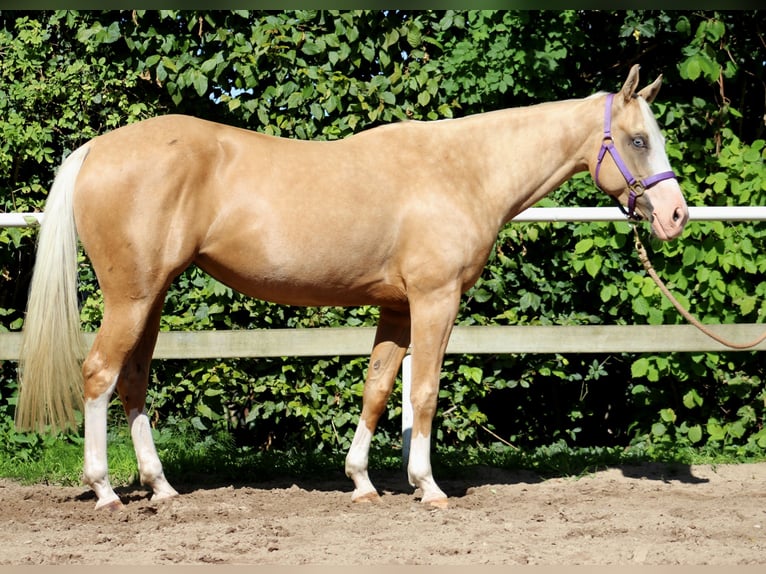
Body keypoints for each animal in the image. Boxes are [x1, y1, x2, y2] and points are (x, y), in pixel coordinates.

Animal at [15, 65, 688, 510]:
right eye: (637, 140)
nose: (676, 215)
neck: (464, 171)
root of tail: (96, 148)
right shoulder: (435, 302)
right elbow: (424, 394)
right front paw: (428, 487)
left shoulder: (396, 309)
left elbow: (378, 388)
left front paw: (362, 481)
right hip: (131, 299)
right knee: (99, 374)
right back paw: (105, 490)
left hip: (150, 299)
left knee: (133, 381)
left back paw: (160, 487)